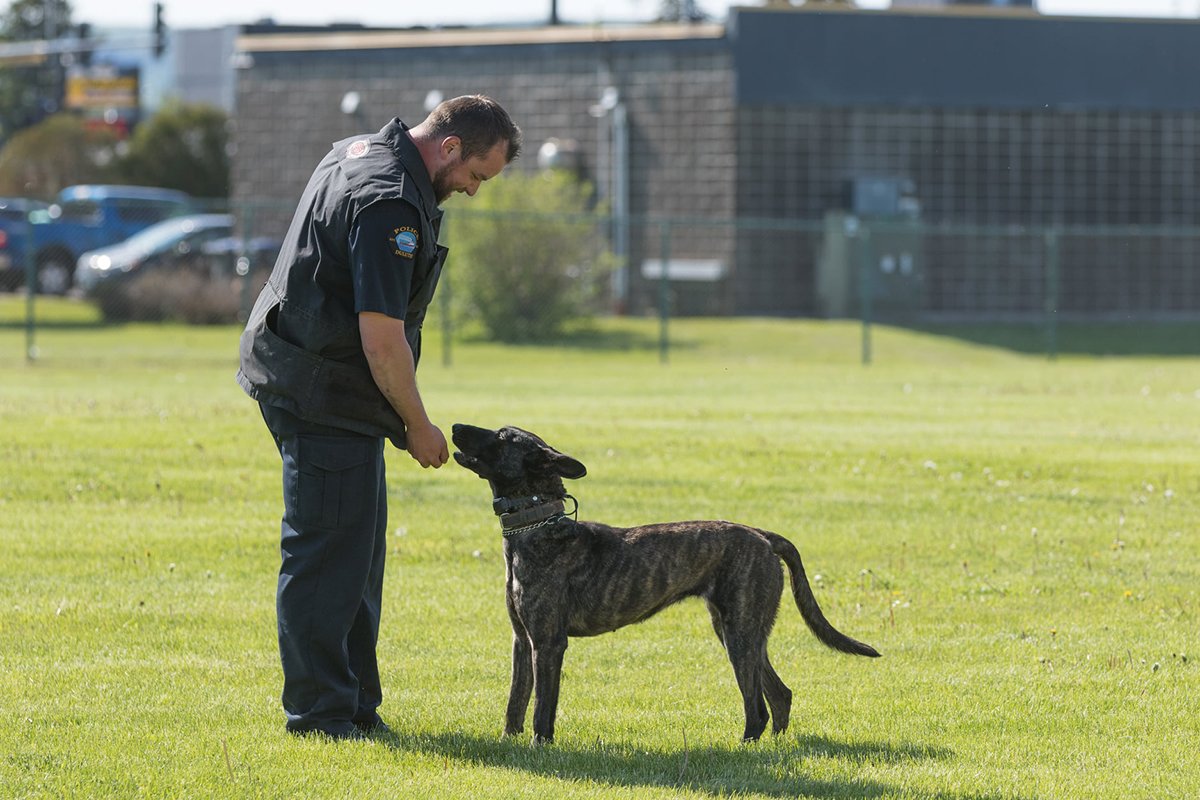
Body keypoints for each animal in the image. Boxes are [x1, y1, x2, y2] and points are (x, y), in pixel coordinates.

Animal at [451, 424, 883, 743]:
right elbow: (515, 701)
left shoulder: (548, 643)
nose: (455, 426)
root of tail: (761, 535)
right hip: (741, 631)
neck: (537, 523)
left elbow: (542, 707)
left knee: (757, 706)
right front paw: (509, 743)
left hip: (739, 634)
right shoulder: (522, 641)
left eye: (503, 437)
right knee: (779, 694)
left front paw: (541, 747)